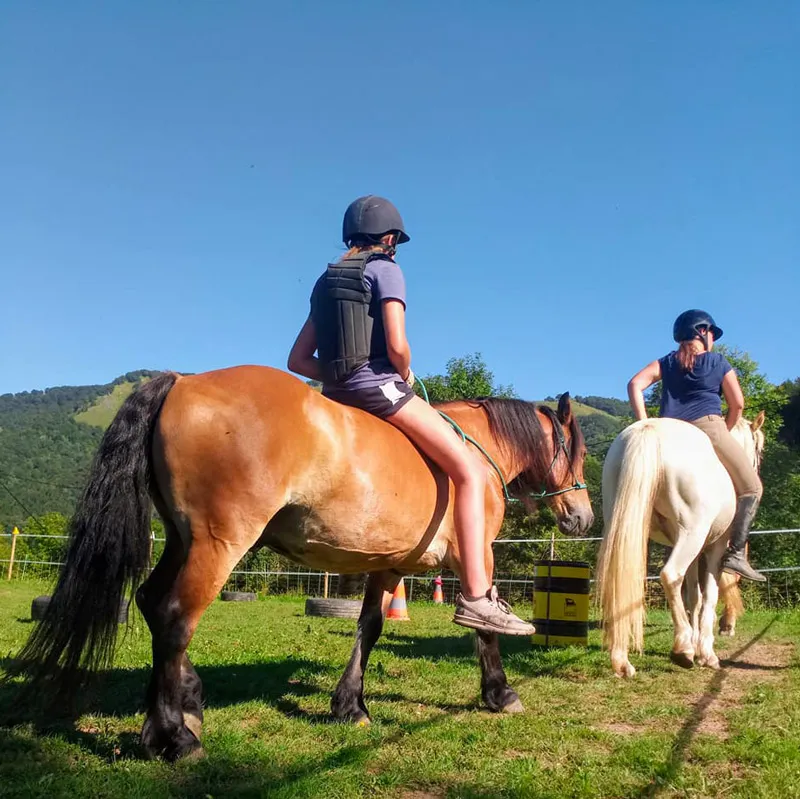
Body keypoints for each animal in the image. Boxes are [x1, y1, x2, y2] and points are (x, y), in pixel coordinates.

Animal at [9, 365, 593, 761]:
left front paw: (350, 706)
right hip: (218, 543)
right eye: (579, 453)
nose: (583, 516)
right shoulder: (473, 555)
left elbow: (369, 627)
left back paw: (187, 701)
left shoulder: (388, 565)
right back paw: (172, 736)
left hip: (182, 538)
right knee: (175, 618)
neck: (476, 450)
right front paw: (500, 693)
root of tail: (182, 382)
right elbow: (483, 620)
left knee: (152, 603)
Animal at [596, 412, 765, 677]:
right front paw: (705, 653)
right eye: (760, 449)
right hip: (691, 534)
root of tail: (649, 430)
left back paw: (622, 661)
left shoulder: (695, 553)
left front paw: (698, 646)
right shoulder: (715, 549)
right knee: (671, 575)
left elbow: (693, 597)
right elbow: (709, 596)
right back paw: (683, 648)